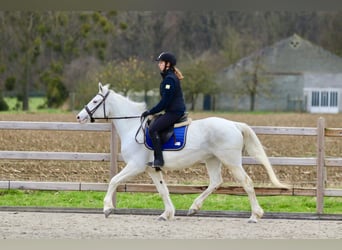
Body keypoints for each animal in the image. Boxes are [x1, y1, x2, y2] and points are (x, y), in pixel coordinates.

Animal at [76, 83, 288, 224]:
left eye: (95, 101)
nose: (79, 116)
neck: (132, 126)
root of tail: (233, 124)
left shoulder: (135, 166)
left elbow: (113, 181)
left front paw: (107, 208)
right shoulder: (152, 169)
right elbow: (163, 190)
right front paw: (167, 214)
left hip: (232, 161)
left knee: (247, 183)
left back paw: (255, 216)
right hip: (212, 160)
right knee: (216, 182)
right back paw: (194, 208)